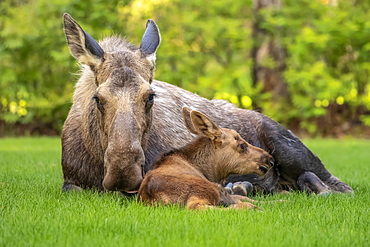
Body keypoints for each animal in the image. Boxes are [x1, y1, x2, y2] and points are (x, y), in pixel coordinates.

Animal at [60, 13, 352, 195]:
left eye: (150, 96)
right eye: (97, 98)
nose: (123, 170)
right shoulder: (69, 180)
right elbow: (74, 189)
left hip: (290, 148)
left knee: (339, 186)